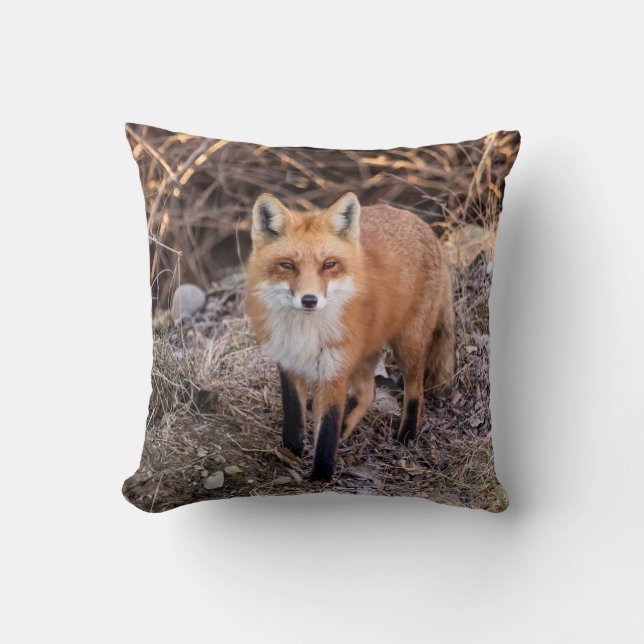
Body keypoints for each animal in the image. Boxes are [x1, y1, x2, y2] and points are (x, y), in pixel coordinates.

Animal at [245, 191, 455, 481]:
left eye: (329, 265)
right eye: (287, 265)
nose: (309, 300)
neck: (306, 332)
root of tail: (422, 223)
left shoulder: (335, 368)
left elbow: (328, 428)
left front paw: (320, 478)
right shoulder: (288, 361)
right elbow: (294, 416)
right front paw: (290, 453)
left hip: (407, 345)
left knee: (416, 391)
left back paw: (407, 436)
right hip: (364, 351)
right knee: (367, 392)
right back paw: (347, 429)